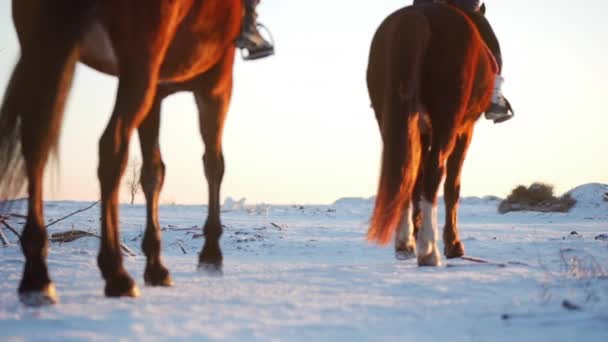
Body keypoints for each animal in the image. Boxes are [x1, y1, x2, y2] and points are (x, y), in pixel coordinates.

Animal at [0, 0, 242, 304]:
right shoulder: (217, 82)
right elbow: (213, 164)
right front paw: (210, 252)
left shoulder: (158, 92)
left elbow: (154, 172)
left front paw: (156, 265)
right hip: (139, 63)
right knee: (111, 147)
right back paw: (116, 271)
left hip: (42, 51)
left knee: (36, 144)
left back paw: (37, 276)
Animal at [366, 2, 504, 266]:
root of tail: (419, 15)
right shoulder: (464, 130)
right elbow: (452, 186)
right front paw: (454, 245)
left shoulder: (422, 130)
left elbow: (415, 183)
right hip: (447, 122)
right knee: (434, 172)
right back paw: (429, 251)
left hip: (393, 119)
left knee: (405, 171)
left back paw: (405, 244)